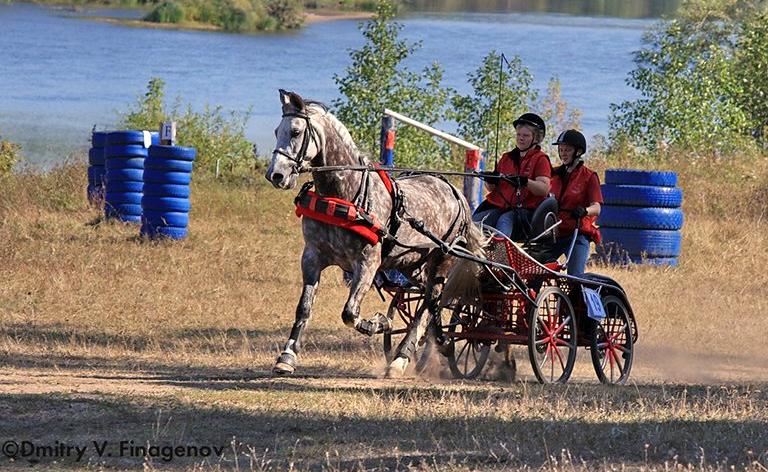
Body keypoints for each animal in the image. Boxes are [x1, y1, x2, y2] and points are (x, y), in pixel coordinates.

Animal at [264, 88, 480, 376]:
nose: (275, 175)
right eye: (278, 131)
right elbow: (304, 308)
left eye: (296, 131)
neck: (345, 196)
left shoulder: (367, 263)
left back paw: (401, 358)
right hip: (413, 264)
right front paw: (287, 356)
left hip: (442, 258)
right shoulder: (312, 257)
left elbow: (350, 312)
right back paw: (432, 342)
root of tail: (456, 193)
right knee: (429, 300)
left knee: (430, 301)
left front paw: (379, 323)